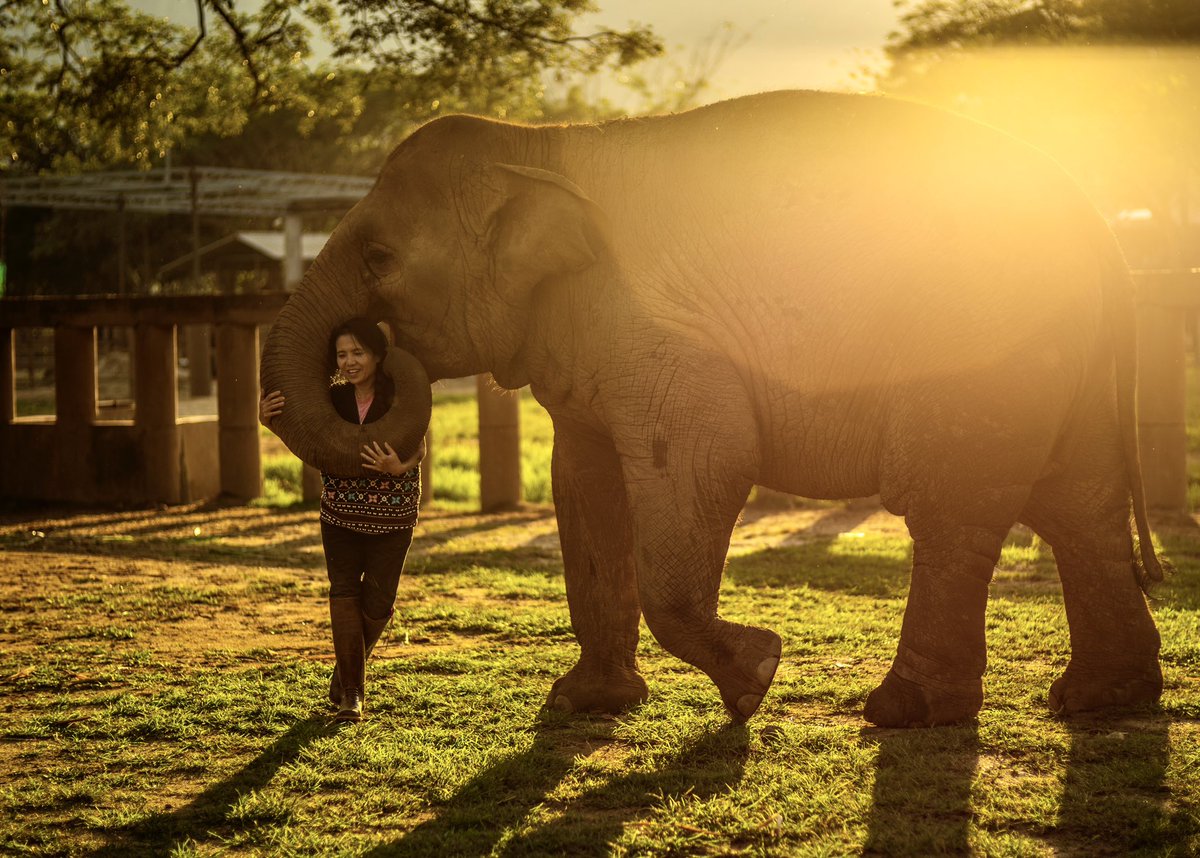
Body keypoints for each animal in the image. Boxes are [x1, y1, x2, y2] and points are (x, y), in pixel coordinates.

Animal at [260, 89, 1165, 728]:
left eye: (379, 257)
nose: (363, 357)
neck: (538, 142)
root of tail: (1104, 236)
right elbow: (583, 486)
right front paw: (584, 704)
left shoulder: (659, 338)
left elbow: (705, 463)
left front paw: (756, 679)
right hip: (1056, 366)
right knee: (1077, 505)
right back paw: (1099, 701)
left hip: (983, 355)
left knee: (953, 507)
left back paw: (902, 713)